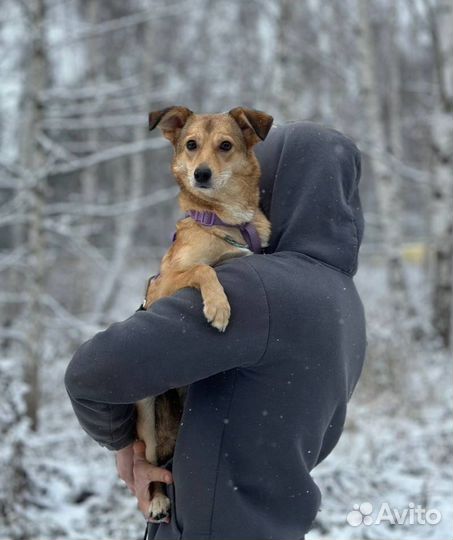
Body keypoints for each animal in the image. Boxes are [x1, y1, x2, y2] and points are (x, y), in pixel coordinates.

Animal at [132, 106, 270, 524]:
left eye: (225, 146)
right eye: (191, 145)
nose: (201, 174)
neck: (226, 220)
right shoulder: (162, 285)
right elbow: (203, 269)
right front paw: (218, 307)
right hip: (145, 413)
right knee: (151, 460)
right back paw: (158, 499)